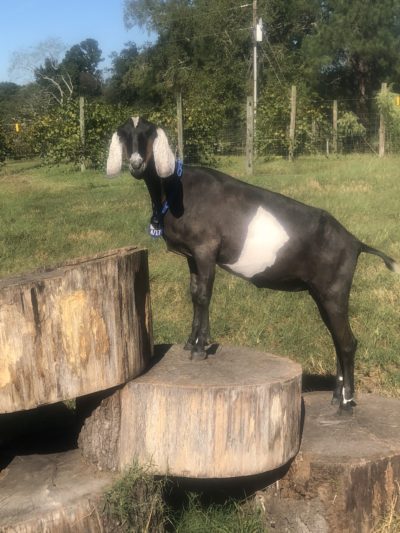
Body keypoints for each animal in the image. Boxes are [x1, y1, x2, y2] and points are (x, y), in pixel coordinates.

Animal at [107, 116, 399, 411]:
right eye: (125, 134)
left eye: (148, 134)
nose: (136, 163)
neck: (178, 189)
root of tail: (355, 243)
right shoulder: (192, 256)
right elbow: (194, 293)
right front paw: (191, 342)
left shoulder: (205, 249)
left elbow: (203, 295)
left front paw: (200, 349)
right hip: (321, 293)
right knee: (337, 339)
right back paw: (337, 396)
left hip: (334, 291)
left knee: (348, 342)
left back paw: (347, 402)